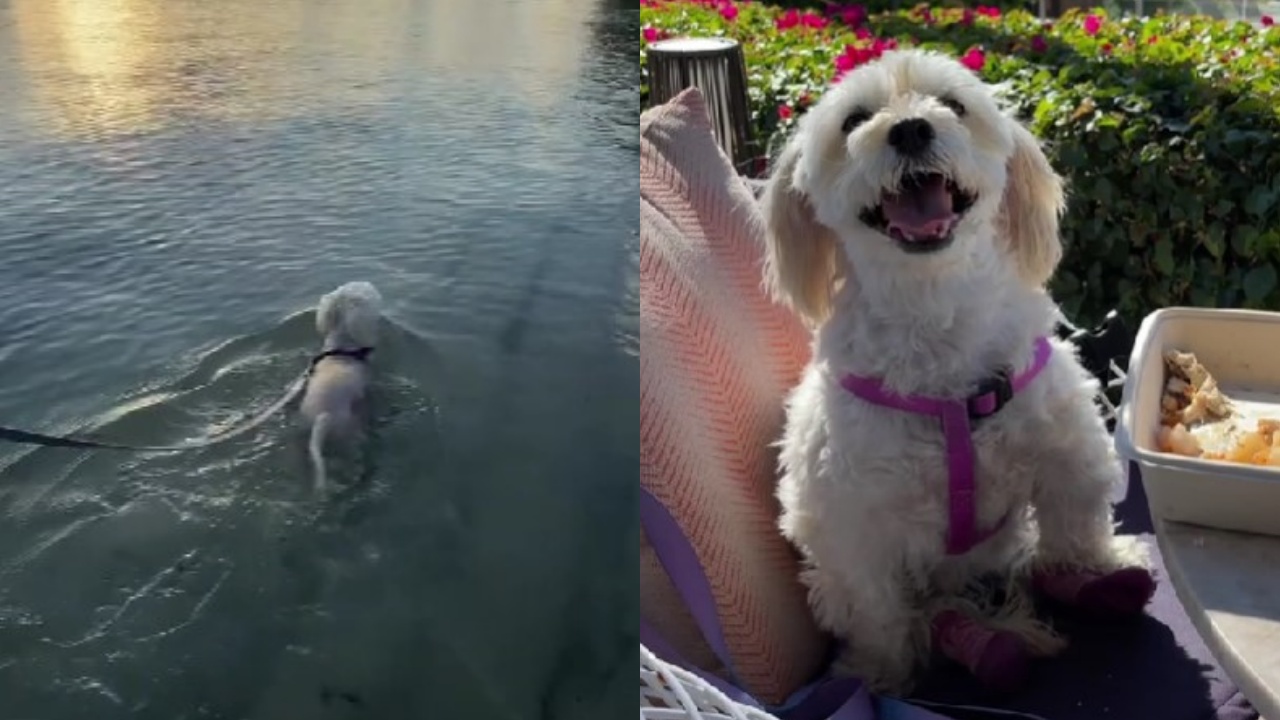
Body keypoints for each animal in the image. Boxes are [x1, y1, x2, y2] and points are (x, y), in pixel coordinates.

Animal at [757, 50, 1162, 691]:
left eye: (953, 104)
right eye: (854, 121)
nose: (909, 129)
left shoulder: (1065, 446)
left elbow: (1076, 520)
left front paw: (1100, 564)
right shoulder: (849, 518)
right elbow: (875, 607)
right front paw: (883, 672)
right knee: (929, 612)